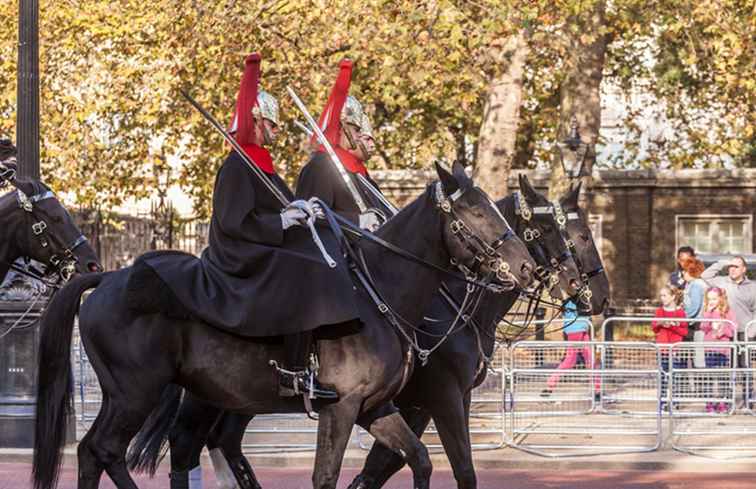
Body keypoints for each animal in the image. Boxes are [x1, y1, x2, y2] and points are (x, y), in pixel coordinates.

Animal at [31, 163, 536, 488]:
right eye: (475, 213)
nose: (526, 268)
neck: (381, 293)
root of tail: (108, 277)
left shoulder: (377, 407)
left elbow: (418, 460)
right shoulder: (353, 406)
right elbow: (329, 476)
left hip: (160, 395)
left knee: (114, 451)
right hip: (136, 393)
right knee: (104, 450)